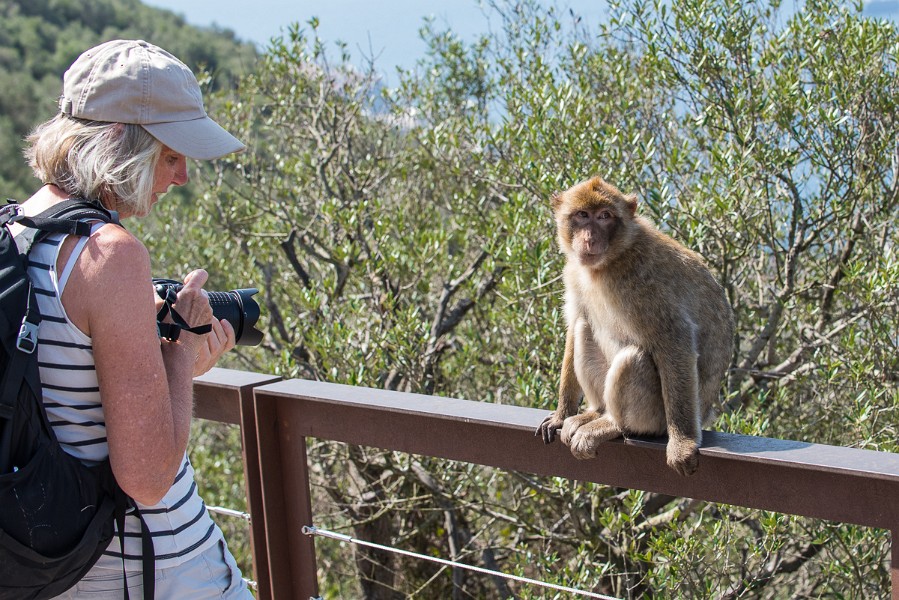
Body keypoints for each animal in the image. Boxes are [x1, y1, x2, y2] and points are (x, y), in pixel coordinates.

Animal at [536, 176, 732, 476]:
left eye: (605, 216)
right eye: (582, 215)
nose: (590, 238)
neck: (609, 262)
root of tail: (706, 411)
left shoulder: (642, 280)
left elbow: (675, 340)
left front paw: (683, 444)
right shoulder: (573, 272)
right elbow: (574, 323)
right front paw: (561, 414)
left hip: (657, 416)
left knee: (633, 358)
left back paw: (613, 424)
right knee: (583, 327)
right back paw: (596, 411)